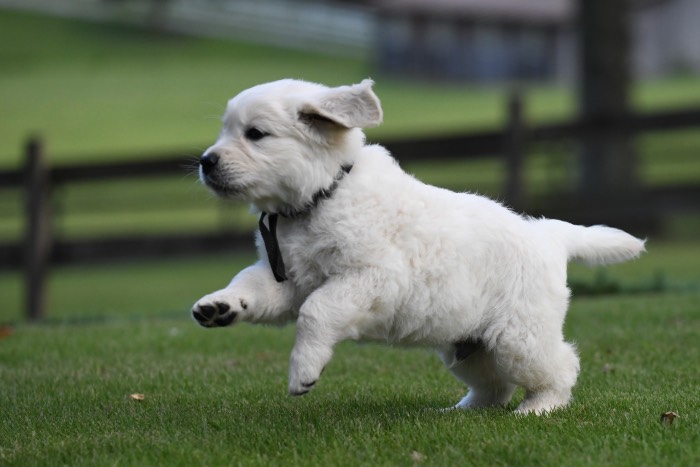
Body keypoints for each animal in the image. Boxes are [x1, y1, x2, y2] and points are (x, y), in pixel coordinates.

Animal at [193, 78, 644, 414]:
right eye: (225, 130)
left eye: (255, 134)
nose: (205, 161)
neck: (319, 197)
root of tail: (547, 235)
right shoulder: (288, 277)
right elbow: (250, 285)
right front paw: (219, 306)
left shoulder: (372, 277)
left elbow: (317, 310)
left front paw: (303, 370)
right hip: (468, 346)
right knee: (494, 387)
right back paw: (461, 411)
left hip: (518, 337)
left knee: (561, 366)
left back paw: (541, 407)